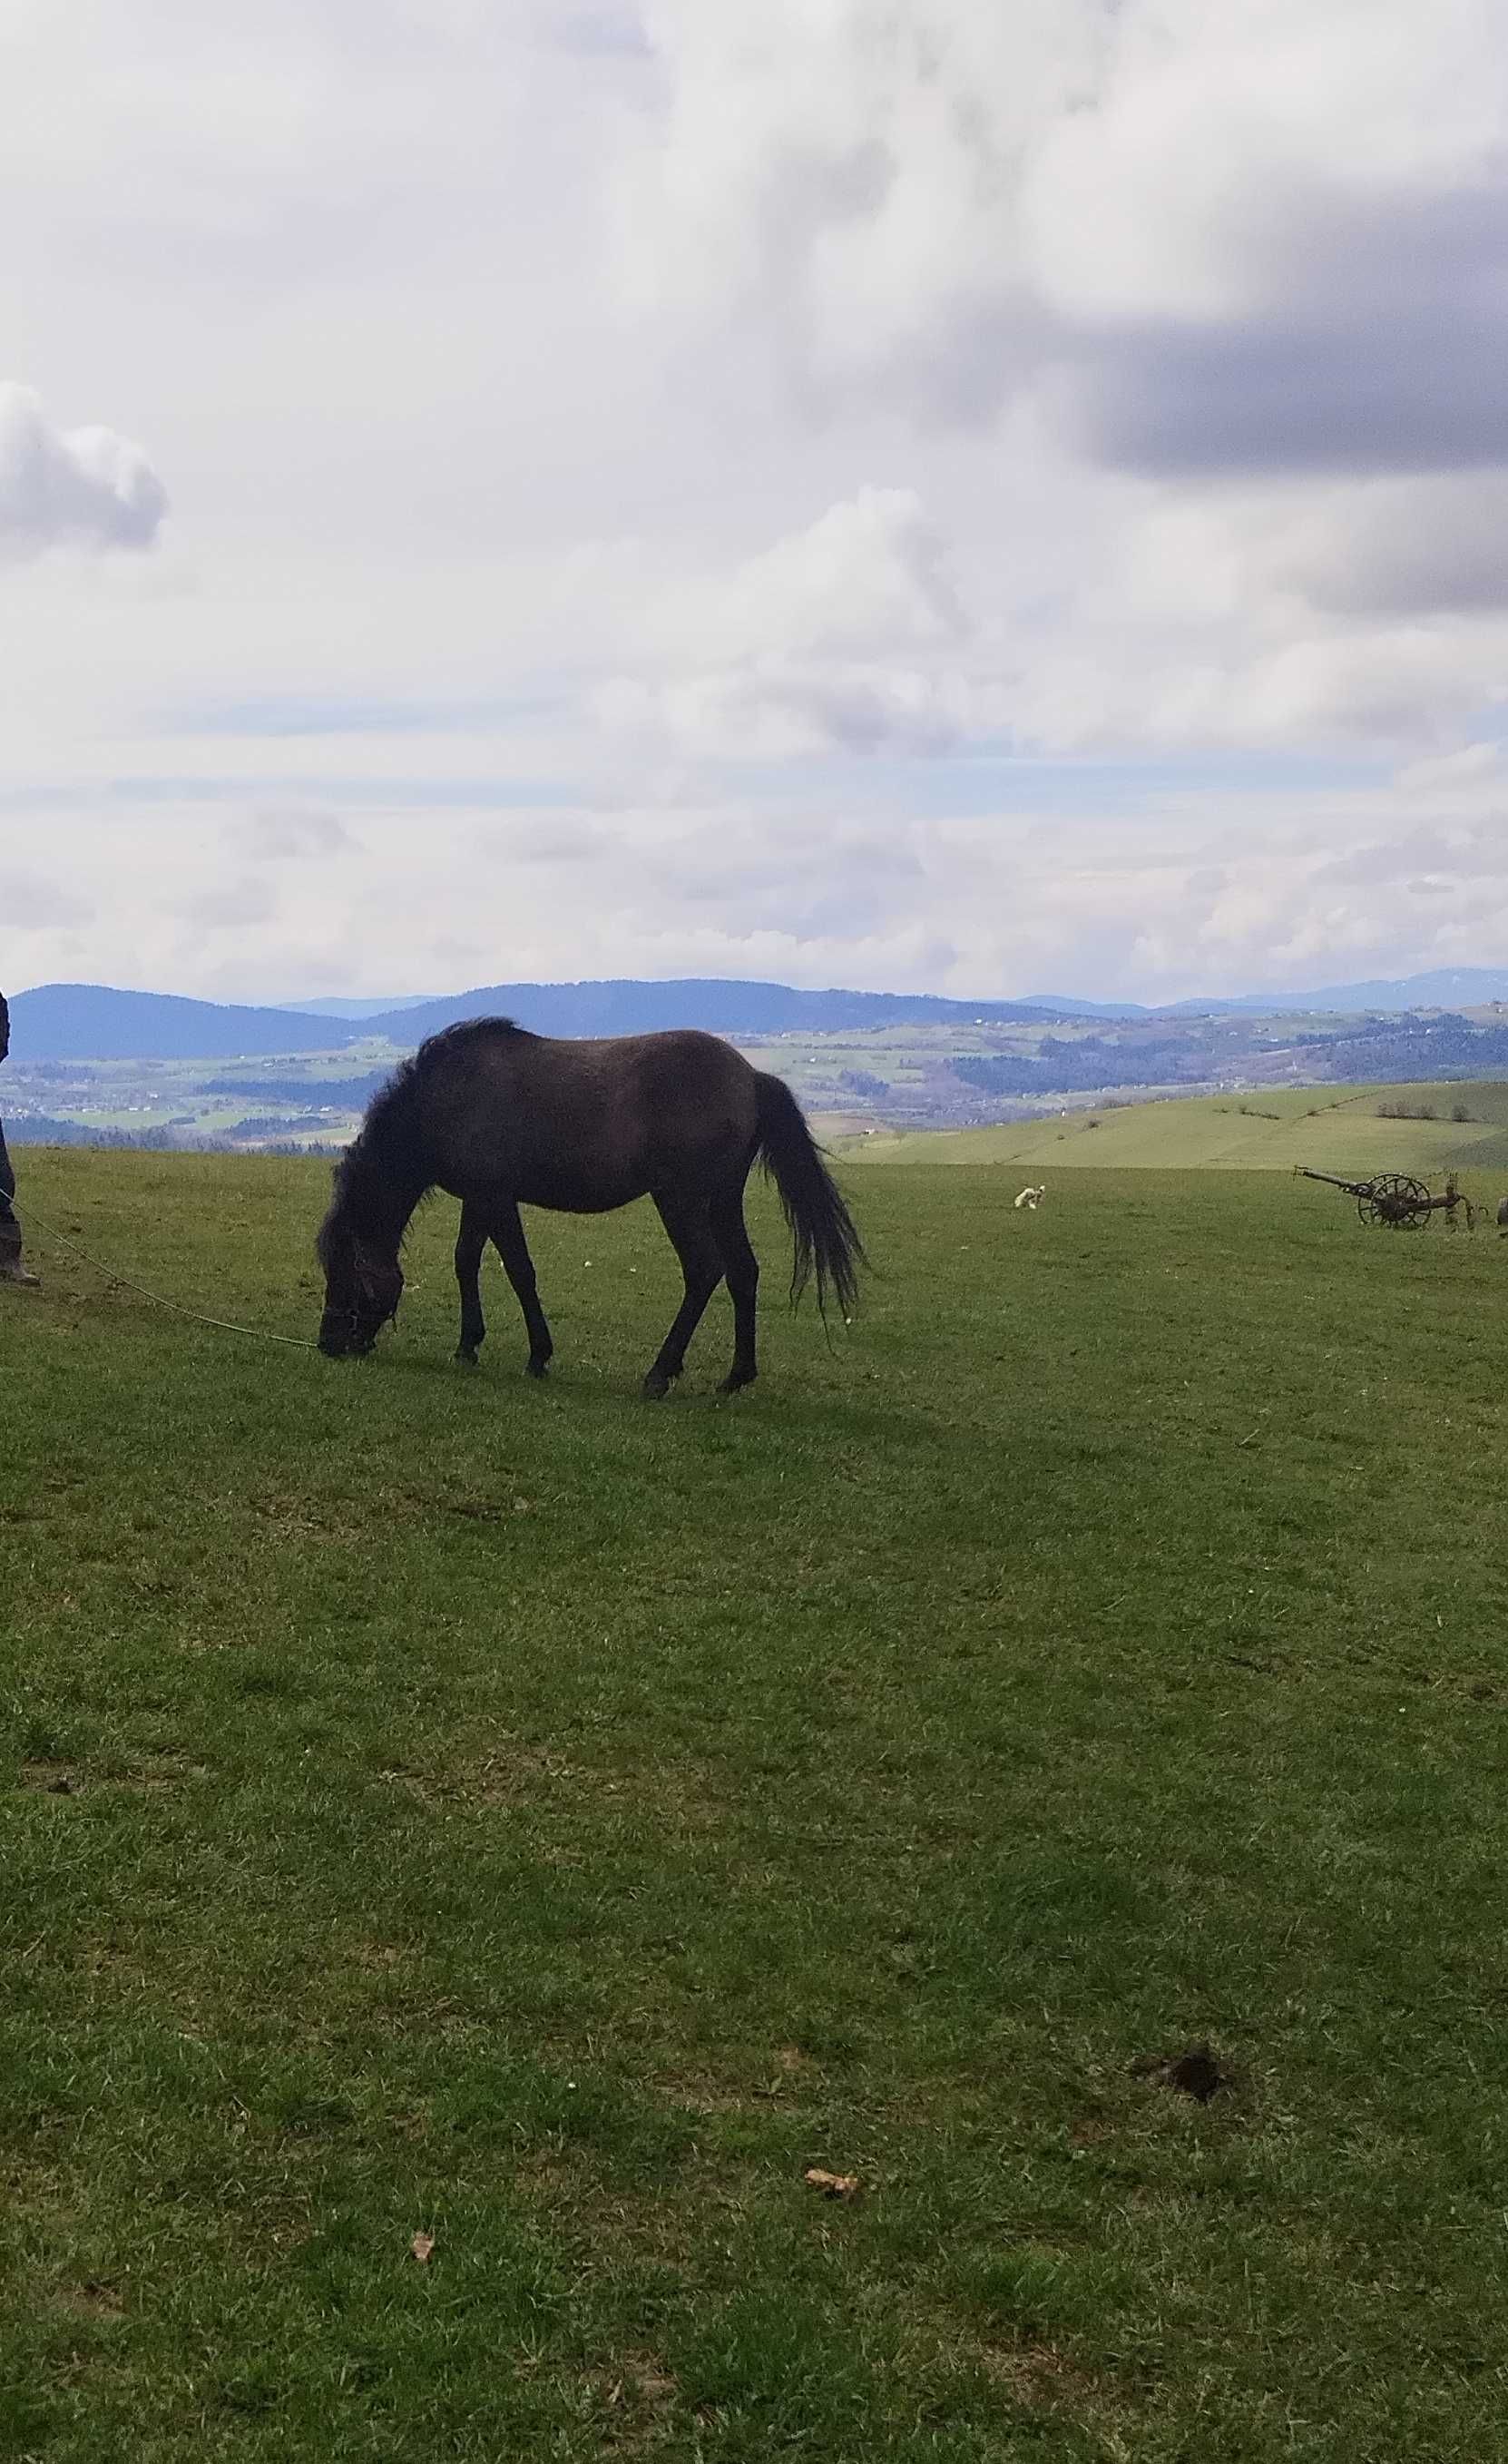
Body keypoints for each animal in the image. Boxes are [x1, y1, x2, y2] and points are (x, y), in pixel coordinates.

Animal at [311, 1010, 867, 1399]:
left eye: (345, 1271)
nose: (329, 1343)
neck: (443, 1101)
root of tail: (751, 1078)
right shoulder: (483, 1198)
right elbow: (473, 1262)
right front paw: (477, 1345)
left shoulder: (494, 1197)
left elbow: (513, 1269)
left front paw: (529, 1354)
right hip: (723, 1200)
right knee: (742, 1271)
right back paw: (736, 1376)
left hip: (681, 1200)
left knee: (705, 1270)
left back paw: (659, 1374)